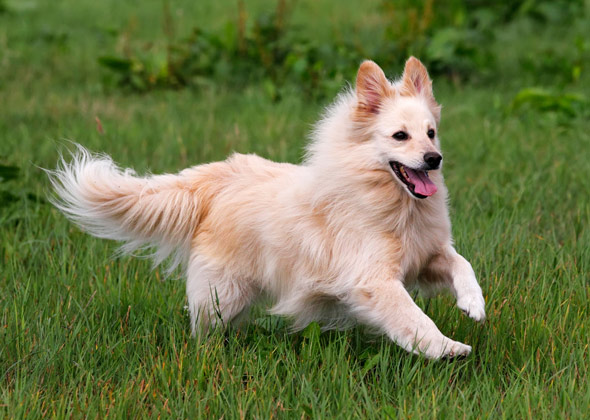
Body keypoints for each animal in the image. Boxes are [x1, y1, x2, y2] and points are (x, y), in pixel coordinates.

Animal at [49, 57, 486, 360]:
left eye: (431, 132)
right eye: (400, 136)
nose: (434, 158)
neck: (395, 204)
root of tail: (213, 180)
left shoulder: (426, 256)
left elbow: (461, 263)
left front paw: (473, 304)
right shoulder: (374, 281)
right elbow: (413, 316)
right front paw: (446, 348)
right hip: (223, 293)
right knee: (204, 327)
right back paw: (210, 357)